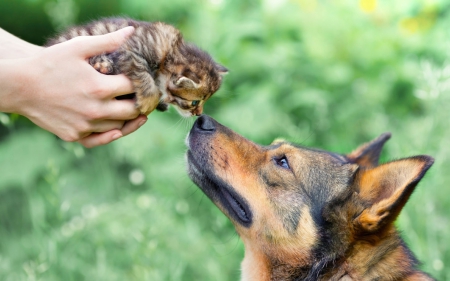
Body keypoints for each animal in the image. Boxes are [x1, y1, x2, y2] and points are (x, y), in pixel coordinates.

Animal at [47, 17, 227, 116]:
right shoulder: (130, 50)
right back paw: (103, 65)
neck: (171, 50)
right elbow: (143, 73)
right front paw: (149, 100)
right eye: (195, 102)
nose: (198, 114)